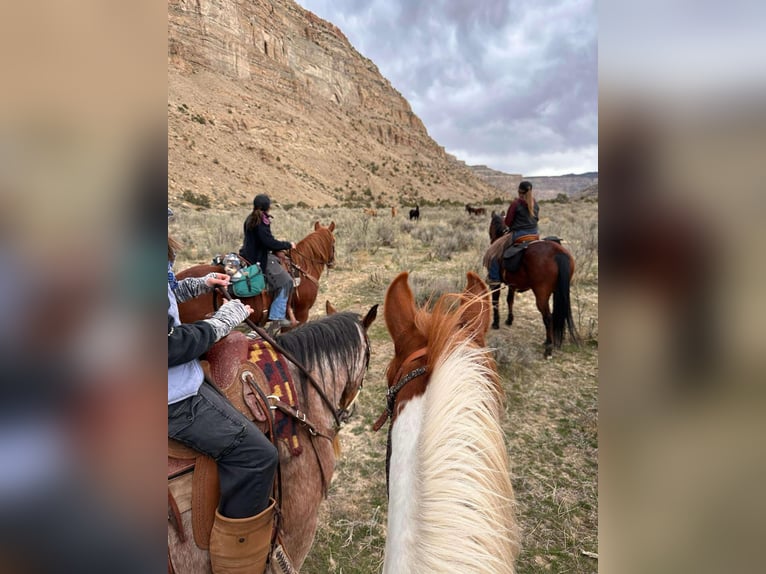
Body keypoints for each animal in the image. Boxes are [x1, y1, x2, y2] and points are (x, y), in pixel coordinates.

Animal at [488, 209, 580, 358]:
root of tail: (558, 253)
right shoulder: (512, 284)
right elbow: (510, 300)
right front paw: (509, 320)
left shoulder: (495, 282)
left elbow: (495, 300)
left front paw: (496, 323)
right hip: (559, 292)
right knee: (556, 315)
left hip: (541, 294)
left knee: (548, 317)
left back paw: (548, 348)